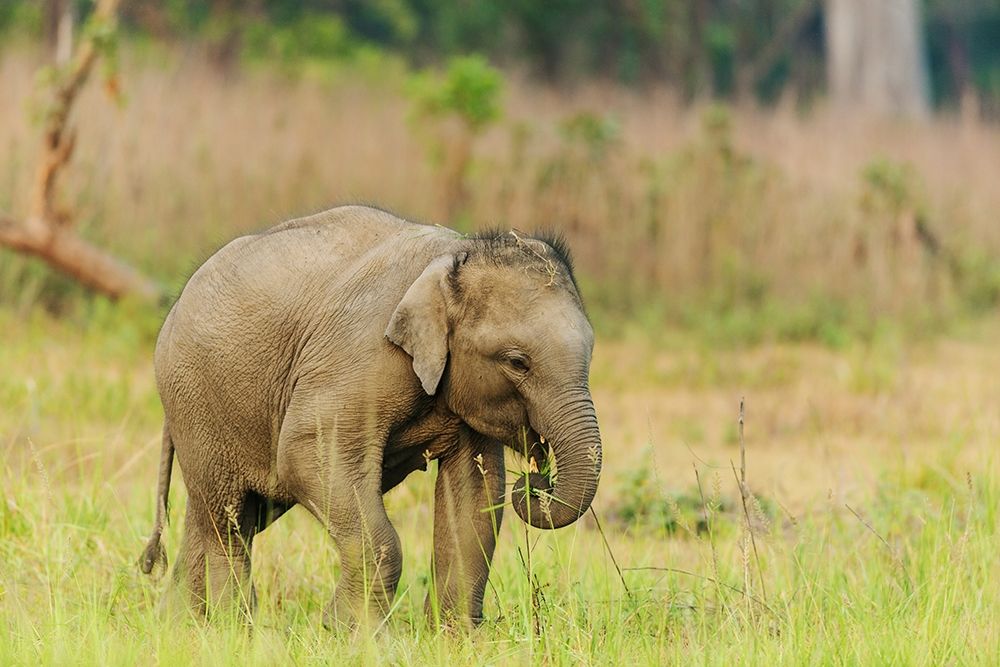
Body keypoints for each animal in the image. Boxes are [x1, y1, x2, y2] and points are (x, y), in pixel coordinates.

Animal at [139, 205, 602, 628]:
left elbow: (475, 493)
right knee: (229, 519)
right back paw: (232, 627)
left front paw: (457, 641)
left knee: (227, 516)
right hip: (197, 399)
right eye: (517, 362)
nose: (537, 479)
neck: (454, 254)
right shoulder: (359, 356)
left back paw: (178, 628)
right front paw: (350, 632)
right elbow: (306, 455)